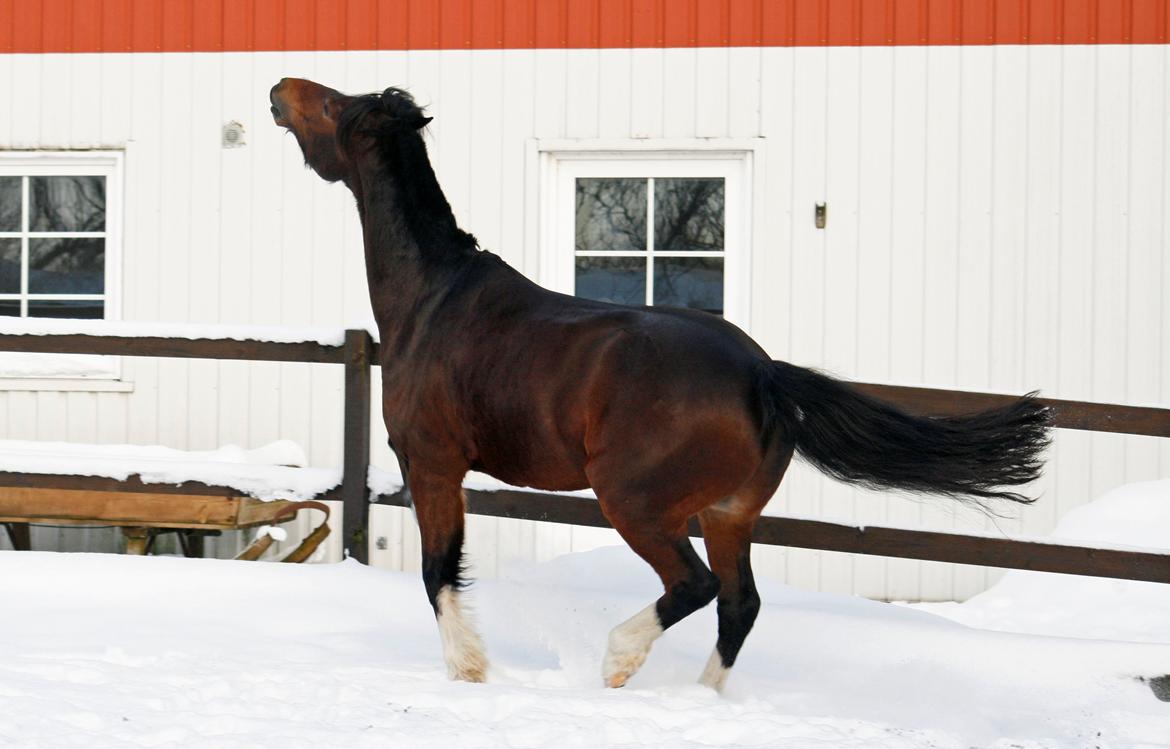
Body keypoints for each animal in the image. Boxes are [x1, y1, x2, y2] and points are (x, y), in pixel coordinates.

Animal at [269, 78, 1051, 692]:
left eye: (335, 104)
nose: (279, 89)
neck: (432, 297)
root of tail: (762, 373)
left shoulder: (432, 463)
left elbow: (438, 572)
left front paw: (469, 670)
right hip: (730, 513)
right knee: (739, 603)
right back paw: (699, 698)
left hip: (636, 503)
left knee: (695, 586)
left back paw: (618, 661)